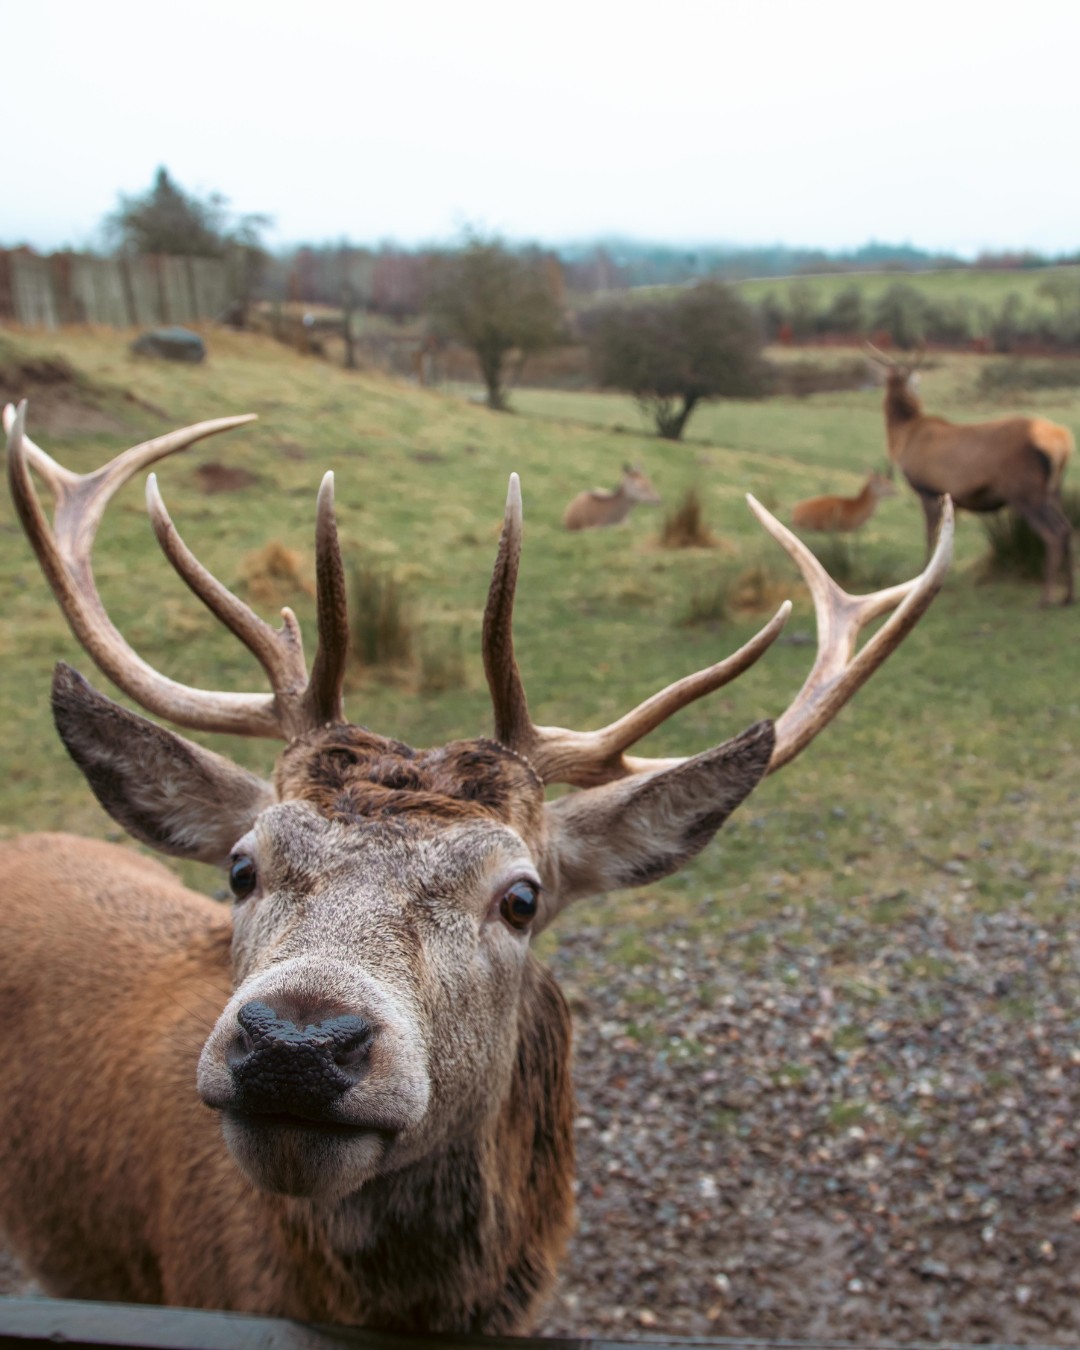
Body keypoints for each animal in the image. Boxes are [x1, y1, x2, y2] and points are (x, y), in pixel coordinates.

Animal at [866, 343, 1075, 604]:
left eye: (917, 381)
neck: (904, 437)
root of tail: (1061, 442)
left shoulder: (927, 488)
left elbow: (930, 534)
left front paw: (923, 577)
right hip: (1053, 492)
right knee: (1067, 528)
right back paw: (1068, 596)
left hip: (1024, 491)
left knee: (1053, 534)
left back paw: (1046, 598)